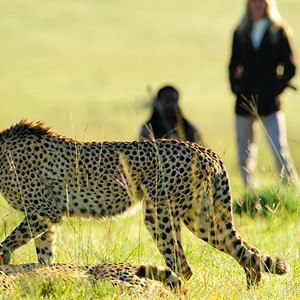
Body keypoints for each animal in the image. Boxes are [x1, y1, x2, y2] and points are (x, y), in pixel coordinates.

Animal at [0, 120, 288, 288]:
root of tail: (206, 150)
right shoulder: (44, 218)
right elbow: (45, 255)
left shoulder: (45, 211)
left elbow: (6, 244)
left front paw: (6, 261)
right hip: (201, 218)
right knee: (248, 252)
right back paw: (252, 289)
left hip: (158, 212)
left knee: (182, 267)